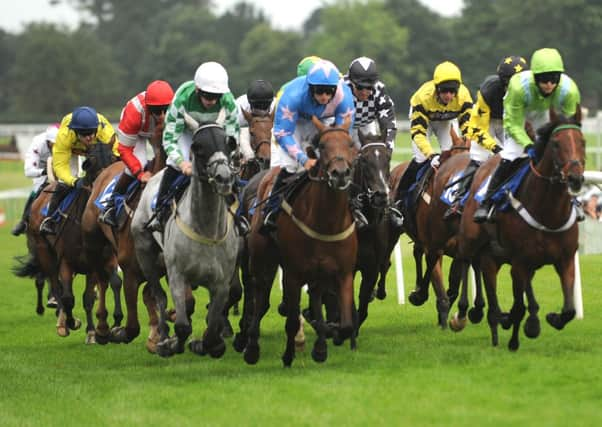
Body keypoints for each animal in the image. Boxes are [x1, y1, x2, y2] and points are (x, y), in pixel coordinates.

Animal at [13, 142, 120, 342]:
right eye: (89, 162)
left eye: (113, 158)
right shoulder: (66, 262)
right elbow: (68, 297)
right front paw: (71, 322)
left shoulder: (95, 264)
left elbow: (88, 297)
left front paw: (92, 332)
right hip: (44, 254)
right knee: (54, 286)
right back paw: (60, 319)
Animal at [132, 119, 239, 358]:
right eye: (198, 147)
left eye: (229, 142)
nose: (224, 178)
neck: (207, 230)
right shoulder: (177, 275)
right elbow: (181, 325)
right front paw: (171, 344)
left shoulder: (221, 283)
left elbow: (212, 330)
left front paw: (207, 344)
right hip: (144, 252)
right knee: (159, 296)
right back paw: (162, 336)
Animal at [243, 116, 356, 368]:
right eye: (322, 146)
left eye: (351, 144)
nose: (340, 174)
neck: (326, 222)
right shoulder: (293, 273)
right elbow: (292, 319)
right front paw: (288, 355)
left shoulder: (344, 272)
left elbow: (345, 325)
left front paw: (324, 341)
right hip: (261, 259)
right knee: (260, 296)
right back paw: (251, 347)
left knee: (313, 294)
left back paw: (320, 346)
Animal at [454, 108, 580, 352]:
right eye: (556, 144)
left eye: (582, 141)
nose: (575, 177)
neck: (548, 214)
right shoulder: (520, 260)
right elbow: (518, 305)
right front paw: (517, 334)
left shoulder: (564, 259)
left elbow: (568, 309)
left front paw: (549, 318)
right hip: (472, 242)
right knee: (465, 261)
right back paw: (466, 313)